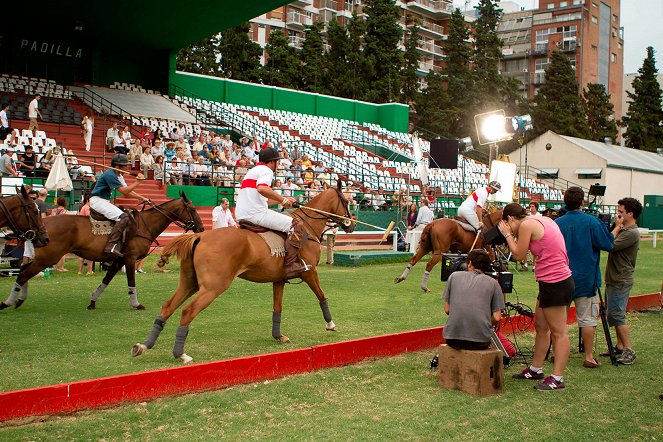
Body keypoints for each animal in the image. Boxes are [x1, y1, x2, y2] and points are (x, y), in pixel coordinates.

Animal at [0, 193, 204, 310]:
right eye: (193, 209)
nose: (202, 228)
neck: (144, 225)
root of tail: (40, 227)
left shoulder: (118, 260)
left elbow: (105, 281)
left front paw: (92, 301)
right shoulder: (129, 258)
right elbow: (131, 282)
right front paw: (136, 304)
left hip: (43, 257)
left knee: (24, 271)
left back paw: (19, 299)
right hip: (49, 258)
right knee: (23, 274)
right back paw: (9, 302)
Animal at [132, 181, 356, 364]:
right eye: (347, 201)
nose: (352, 223)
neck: (309, 227)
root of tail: (199, 237)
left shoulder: (279, 280)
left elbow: (277, 308)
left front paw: (279, 336)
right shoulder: (310, 272)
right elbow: (322, 296)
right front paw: (331, 324)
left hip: (190, 282)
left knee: (167, 306)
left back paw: (144, 345)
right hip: (214, 286)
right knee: (188, 311)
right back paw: (181, 354)